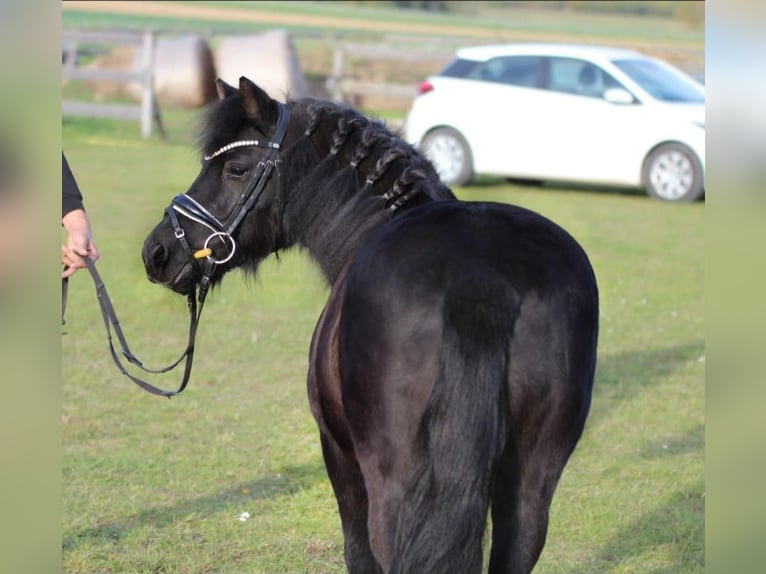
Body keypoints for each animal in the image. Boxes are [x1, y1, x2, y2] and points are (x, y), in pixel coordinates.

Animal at [142, 76, 599, 574]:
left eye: (236, 169)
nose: (157, 251)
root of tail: (480, 274)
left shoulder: (339, 453)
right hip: (531, 483)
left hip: (392, 481)